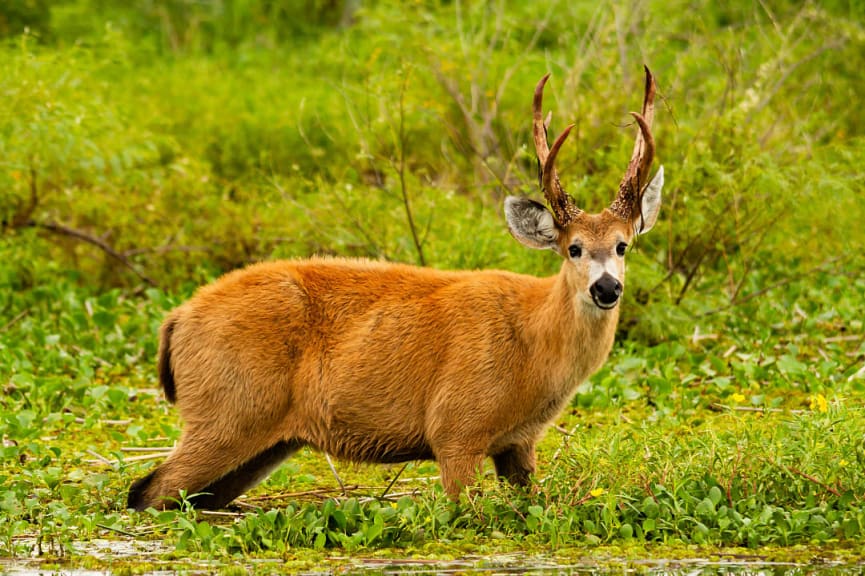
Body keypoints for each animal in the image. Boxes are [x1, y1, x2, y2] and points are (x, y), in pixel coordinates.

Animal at [126, 66, 660, 508]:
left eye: (623, 244)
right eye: (573, 248)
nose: (606, 289)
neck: (533, 343)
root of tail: (176, 319)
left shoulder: (518, 445)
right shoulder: (456, 428)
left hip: (264, 440)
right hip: (228, 412)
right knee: (147, 491)